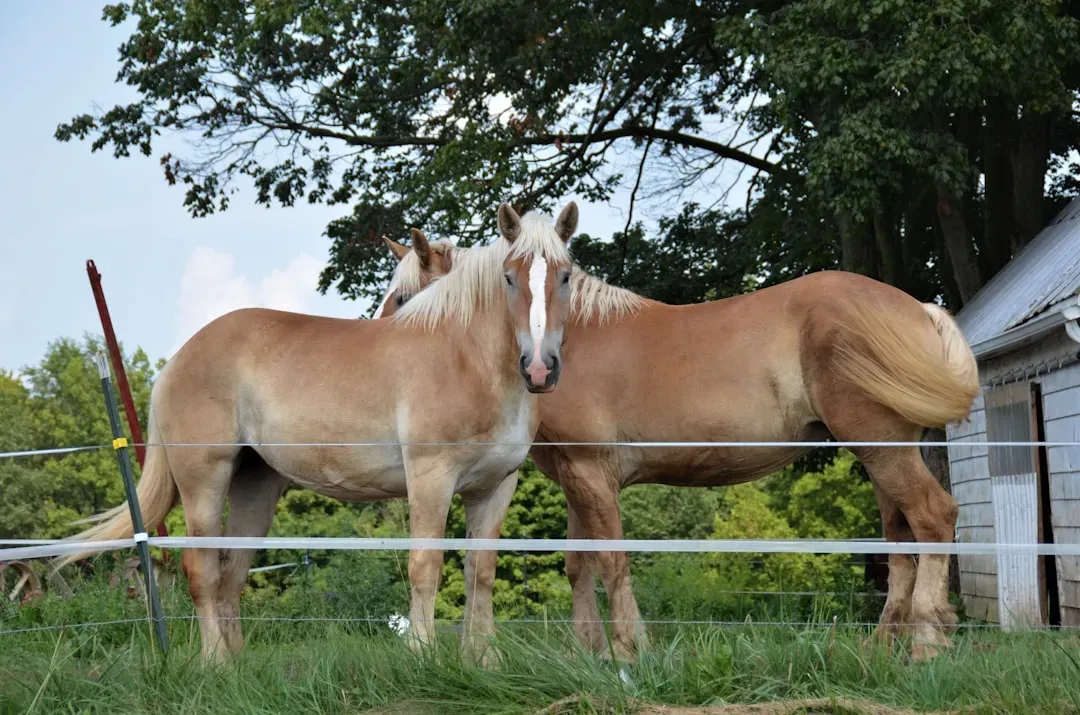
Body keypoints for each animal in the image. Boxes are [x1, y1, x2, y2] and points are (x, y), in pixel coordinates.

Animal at [57, 202, 581, 663]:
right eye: (509, 277)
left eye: (566, 275)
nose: (539, 368)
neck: (468, 358)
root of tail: (178, 360)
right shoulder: (431, 479)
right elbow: (425, 567)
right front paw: (422, 655)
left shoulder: (496, 487)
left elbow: (481, 572)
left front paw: (483, 660)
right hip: (203, 481)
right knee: (202, 570)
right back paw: (213, 663)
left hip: (255, 487)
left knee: (232, 573)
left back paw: (236, 669)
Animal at [377, 238, 979, 664]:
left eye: (405, 299)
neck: (559, 339)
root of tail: (918, 309)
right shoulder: (576, 478)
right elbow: (578, 564)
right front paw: (589, 653)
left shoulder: (592, 474)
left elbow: (611, 559)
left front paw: (626, 651)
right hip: (884, 452)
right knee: (900, 539)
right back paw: (883, 647)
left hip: (882, 447)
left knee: (933, 516)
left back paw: (928, 642)